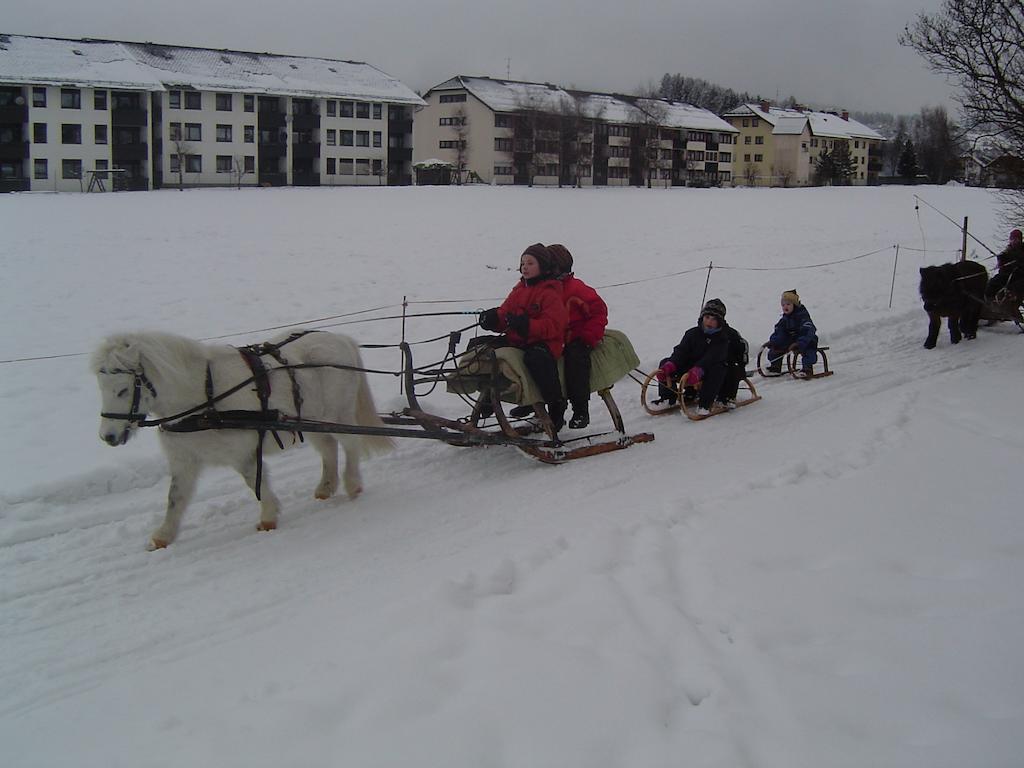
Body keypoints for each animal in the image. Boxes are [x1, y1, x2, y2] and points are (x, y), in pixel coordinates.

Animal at [90, 327, 393, 548]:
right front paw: (163, 536)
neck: (203, 396)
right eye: (101, 387)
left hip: (337, 415)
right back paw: (325, 488)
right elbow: (175, 498)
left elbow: (254, 481)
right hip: (311, 421)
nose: (108, 436)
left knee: (351, 445)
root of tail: (341, 339)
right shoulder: (185, 460)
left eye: (122, 389)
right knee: (329, 448)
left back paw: (352, 484)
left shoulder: (242, 453)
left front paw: (268, 517)